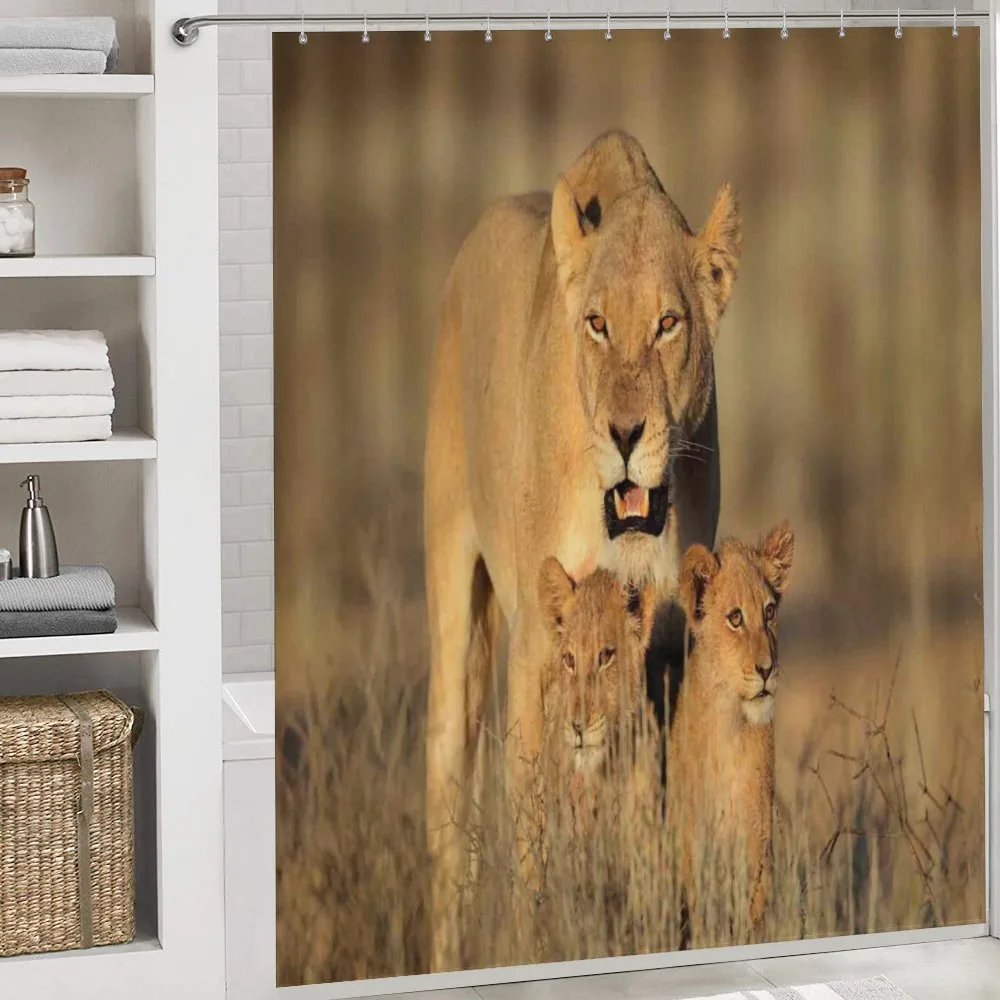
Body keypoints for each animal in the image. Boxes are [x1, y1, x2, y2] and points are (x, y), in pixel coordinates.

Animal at [424, 129, 742, 969]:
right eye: (596, 324)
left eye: (668, 324)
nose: (626, 435)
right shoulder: (539, 647)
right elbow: (533, 842)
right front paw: (541, 948)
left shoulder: (664, 659)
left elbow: (646, 828)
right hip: (454, 604)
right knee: (449, 807)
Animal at [667, 522, 795, 946]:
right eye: (735, 618)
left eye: (769, 612)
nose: (767, 669)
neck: (729, 727)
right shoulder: (691, 839)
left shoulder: (757, 839)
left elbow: (753, 911)